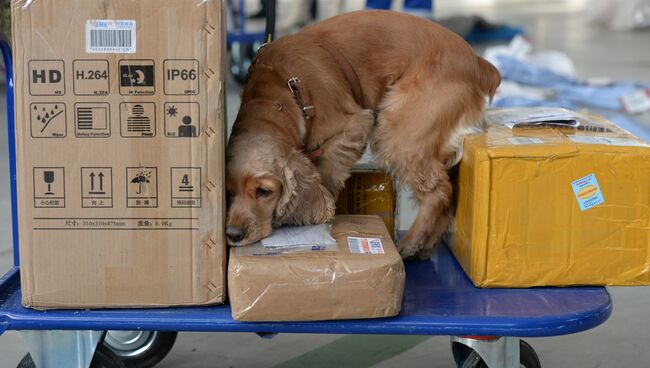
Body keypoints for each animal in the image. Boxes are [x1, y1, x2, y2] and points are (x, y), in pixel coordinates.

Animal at [225, 10, 498, 258]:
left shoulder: (354, 124)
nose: (233, 234)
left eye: (264, 192)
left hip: (398, 132)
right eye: (228, 192)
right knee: (449, 195)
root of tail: (478, 62)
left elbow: (328, 171)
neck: (277, 95)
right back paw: (426, 245)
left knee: (439, 192)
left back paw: (409, 244)